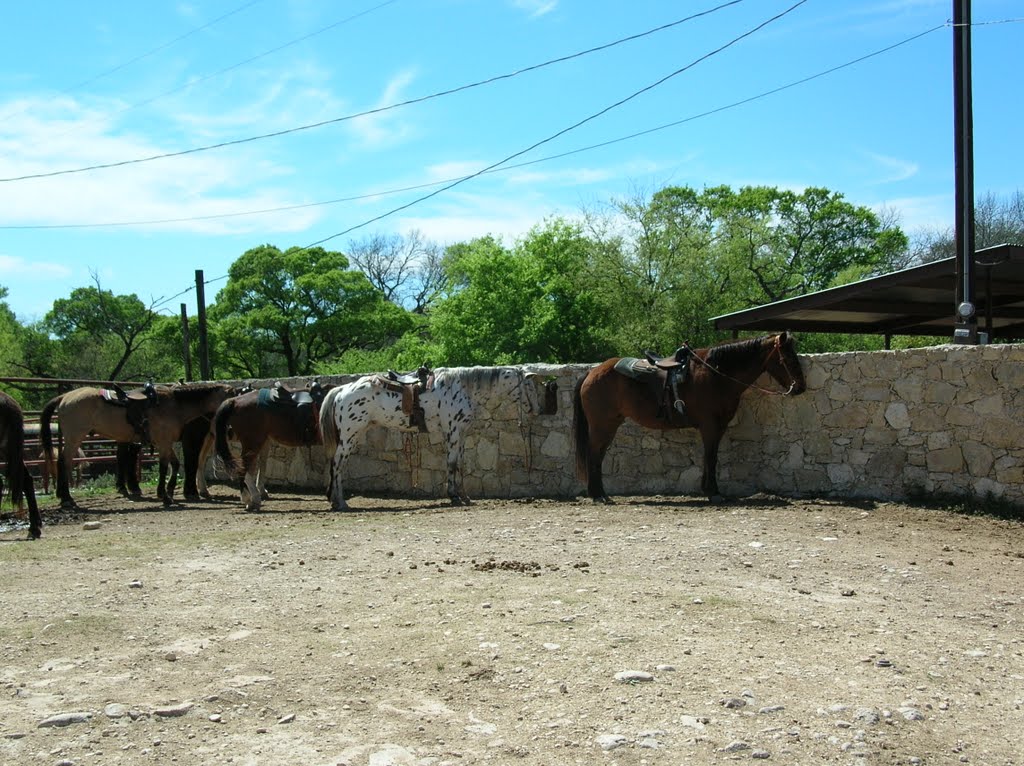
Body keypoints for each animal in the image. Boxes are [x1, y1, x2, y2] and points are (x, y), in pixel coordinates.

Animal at [40, 383, 234, 507]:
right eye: (232, 396)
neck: (174, 406)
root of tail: (64, 397)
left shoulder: (166, 443)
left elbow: (175, 464)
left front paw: (169, 492)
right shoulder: (163, 442)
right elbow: (164, 467)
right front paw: (165, 495)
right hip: (74, 437)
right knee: (64, 462)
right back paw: (67, 499)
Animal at [321, 368, 557, 512]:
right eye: (529, 386)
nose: (537, 410)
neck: (463, 388)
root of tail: (341, 390)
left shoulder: (461, 433)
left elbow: (460, 464)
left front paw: (465, 496)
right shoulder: (453, 431)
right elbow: (451, 463)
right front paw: (453, 496)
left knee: (339, 465)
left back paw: (337, 501)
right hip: (349, 436)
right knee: (337, 465)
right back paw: (340, 502)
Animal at [573, 329, 802, 501]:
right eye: (788, 358)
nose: (800, 387)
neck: (716, 374)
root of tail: (592, 372)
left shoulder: (719, 426)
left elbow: (710, 456)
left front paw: (709, 489)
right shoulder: (710, 425)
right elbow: (711, 456)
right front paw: (713, 492)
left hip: (610, 425)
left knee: (599, 455)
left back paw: (600, 493)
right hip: (602, 425)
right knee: (594, 453)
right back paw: (597, 495)